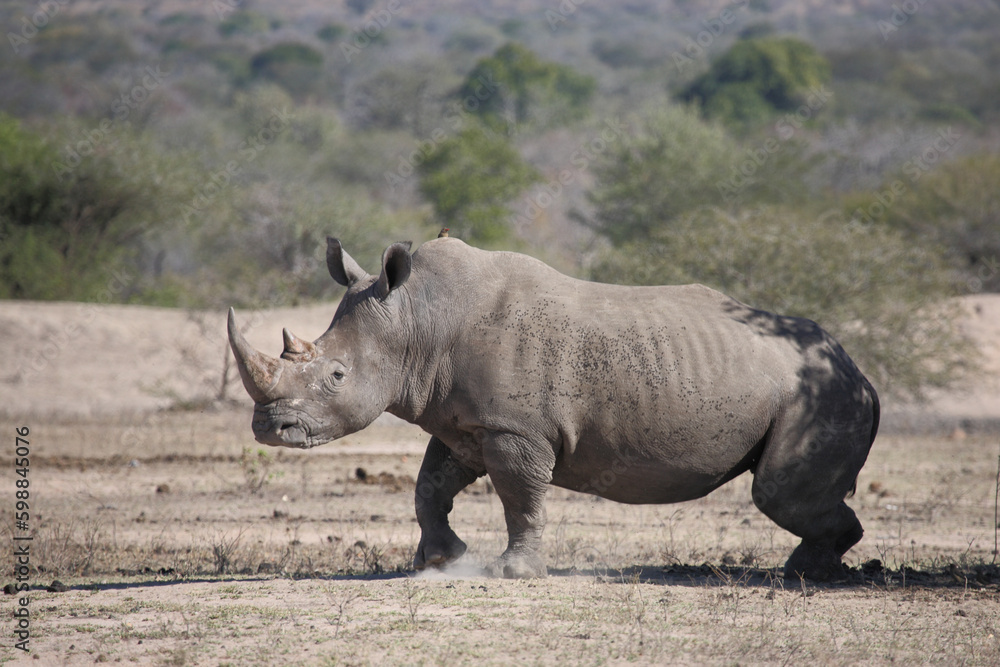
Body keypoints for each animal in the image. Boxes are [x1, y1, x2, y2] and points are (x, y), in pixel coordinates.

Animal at [227, 237, 879, 581]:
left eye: (337, 376)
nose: (269, 429)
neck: (418, 319)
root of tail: (861, 372)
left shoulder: (515, 428)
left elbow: (519, 495)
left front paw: (512, 572)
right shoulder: (466, 422)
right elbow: (429, 487)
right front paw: (439, 561)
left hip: (820, 394)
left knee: (777, 494)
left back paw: (805, 574)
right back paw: (809, 571)